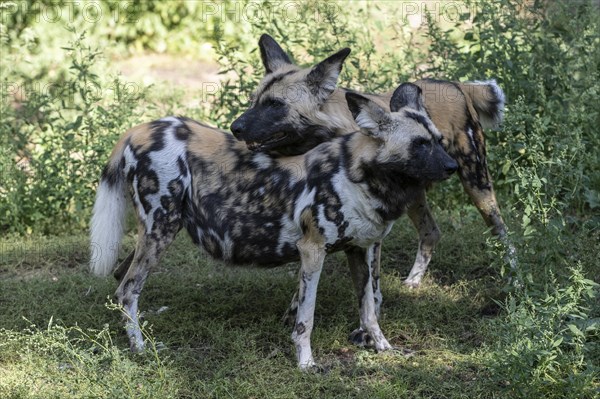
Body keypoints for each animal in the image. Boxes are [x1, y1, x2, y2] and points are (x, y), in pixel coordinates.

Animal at [88, 83, 454, 370]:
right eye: (420, 144)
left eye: (438, 140)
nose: (452, 166)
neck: (361, 176)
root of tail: (139, 129)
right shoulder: (313, 252)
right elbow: (306, 318)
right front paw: (306, 364)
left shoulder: (359, 251)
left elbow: (369, 311)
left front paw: (384, 349)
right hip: (161, 229)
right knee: (128, 289)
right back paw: (140, 349)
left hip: (155, 233)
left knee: (122, 280)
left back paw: (141, 332)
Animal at [231, 34, 516, 296]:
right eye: (253, 101)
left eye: (275, 105)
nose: (235, 128)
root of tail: (454, 85)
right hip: (414, 196)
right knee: (431, 232)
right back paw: (414, 281)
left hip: (476, 182)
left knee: (503, 233)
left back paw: (515, 279)